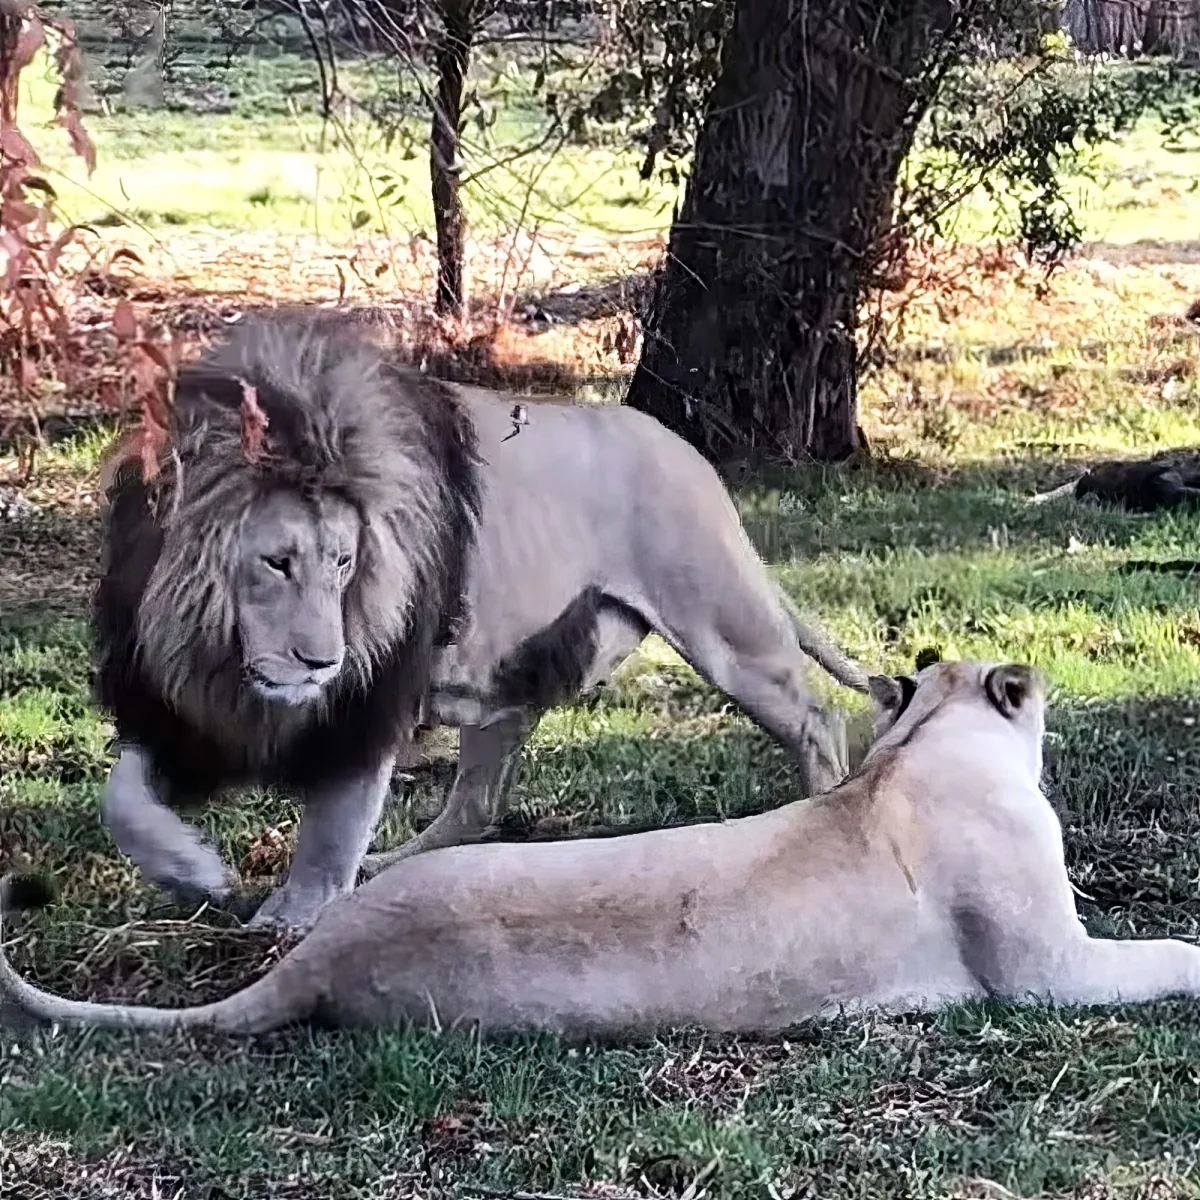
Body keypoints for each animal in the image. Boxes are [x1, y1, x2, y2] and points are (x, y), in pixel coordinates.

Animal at [92, 311, 869, 933]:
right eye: (277, 562)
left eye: (345, 562)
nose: (322, 663)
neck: (218, 646)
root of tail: (688, 452)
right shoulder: (179, 705)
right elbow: (121, 797)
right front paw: (193, 870)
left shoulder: (370, 700)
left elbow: (329, 832)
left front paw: (289, 918)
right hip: (504, 681)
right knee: (476, 804)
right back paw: (394, 867)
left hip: (726, 630)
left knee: (818, 722)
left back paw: (821, 815)